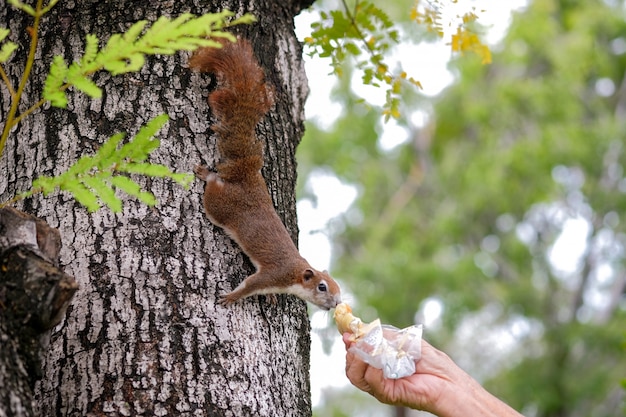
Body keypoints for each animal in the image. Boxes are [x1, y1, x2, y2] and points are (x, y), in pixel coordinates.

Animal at [189, 38, 342, 308]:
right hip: (220, 208)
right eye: (322, 287)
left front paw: (269, 296)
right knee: (214, 190)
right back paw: (206, 174)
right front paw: (231, 297)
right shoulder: (275, 274)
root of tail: (247, 176)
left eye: (338, 288)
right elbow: (251, 285)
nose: (336, 304)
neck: (297, 273)